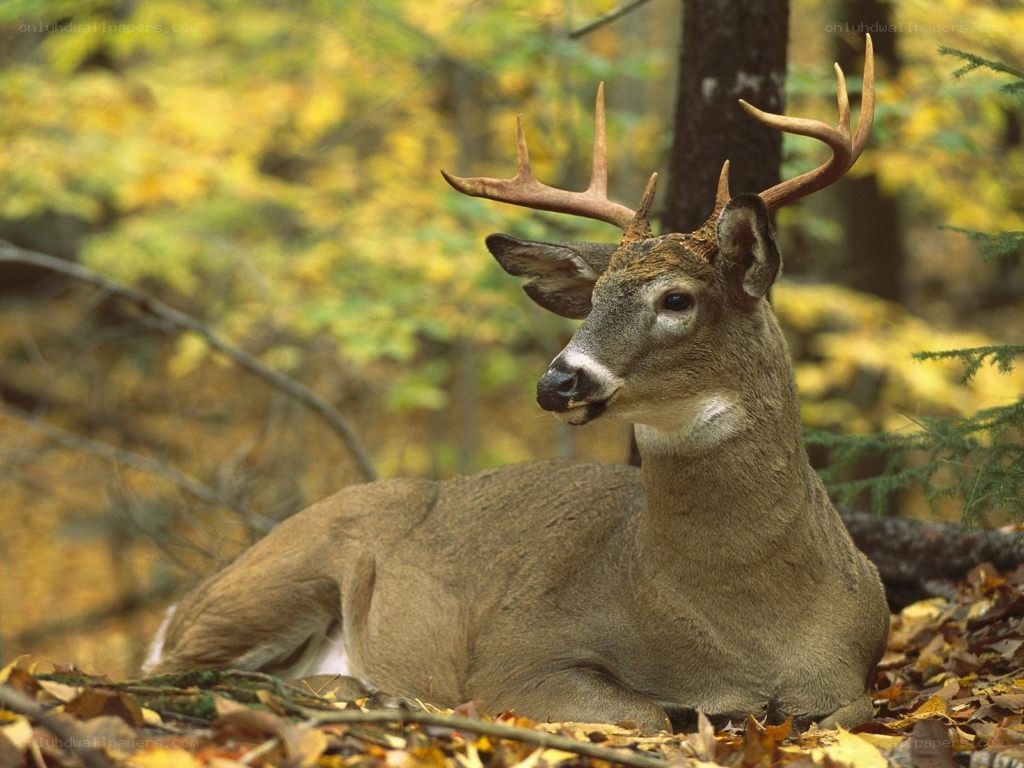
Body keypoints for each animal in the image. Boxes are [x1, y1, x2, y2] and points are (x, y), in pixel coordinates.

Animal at [146, 37, 889, 731]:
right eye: (593, 299)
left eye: (677, 299)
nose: (558, 381)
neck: (748, 634)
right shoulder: (519, 651)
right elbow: (647, 713)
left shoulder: (853, 674)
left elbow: (847, 710)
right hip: (281, 574)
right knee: (173, 672)